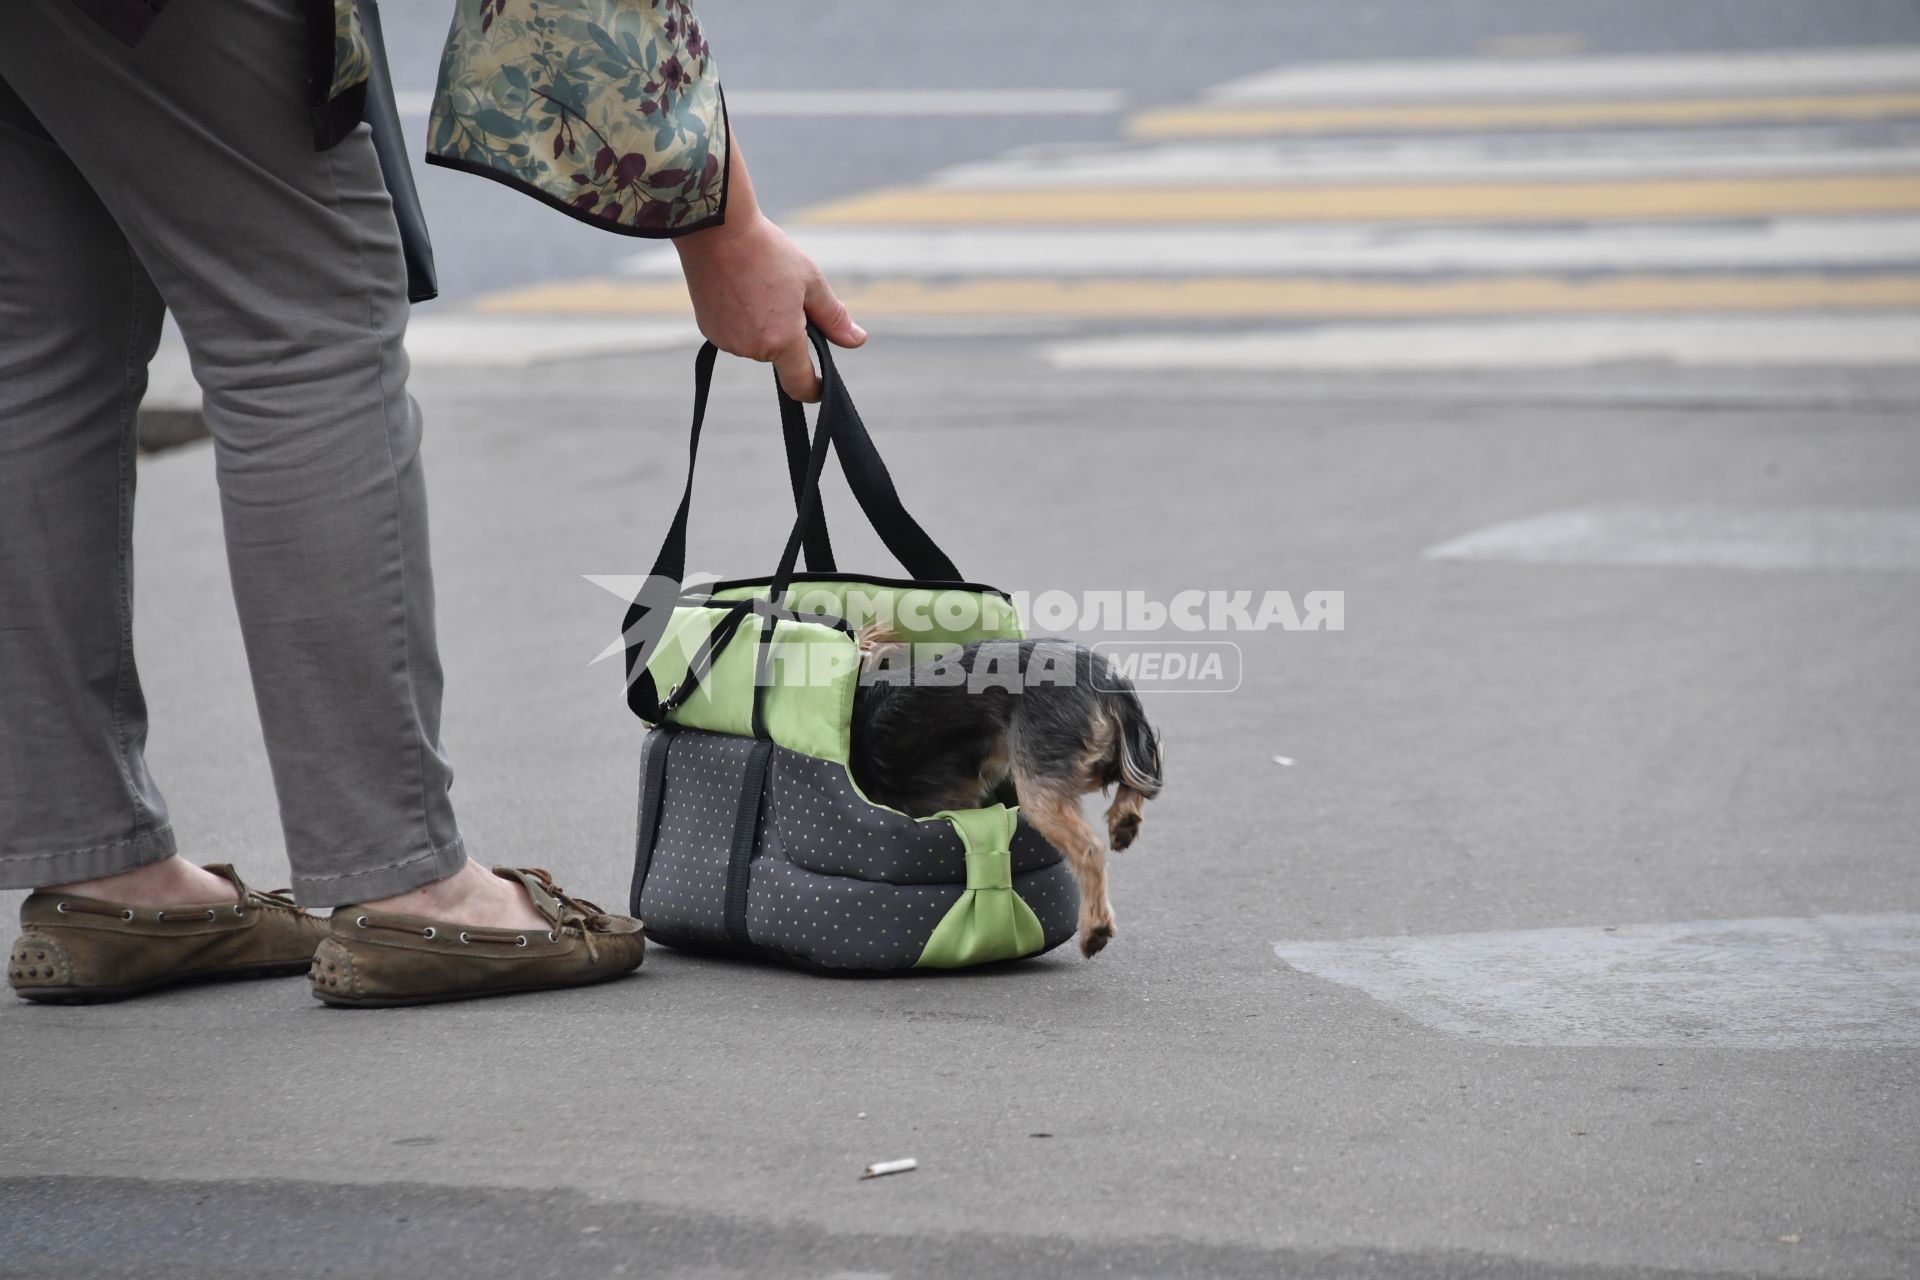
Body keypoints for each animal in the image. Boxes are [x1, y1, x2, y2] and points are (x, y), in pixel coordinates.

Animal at [852, 629, 1152, 959]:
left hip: (1041, 771)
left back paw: (1094, 929)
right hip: (1081, 757)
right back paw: (1125, 820)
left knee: (1089, 848)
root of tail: (1107, 677)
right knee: (1135, 770)